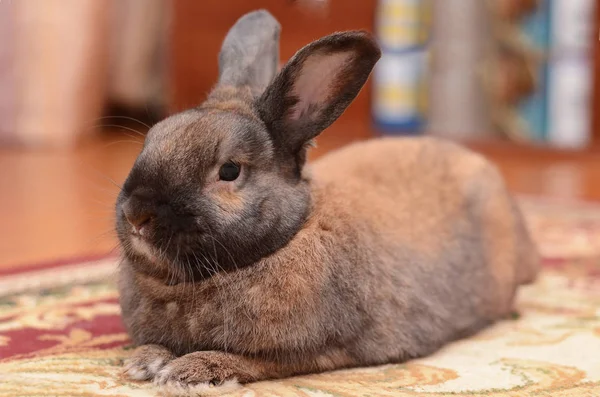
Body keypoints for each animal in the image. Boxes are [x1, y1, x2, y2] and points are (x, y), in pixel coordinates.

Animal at [117, 9, 540, 396]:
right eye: (150, 140)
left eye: (230, 171)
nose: (137, 215)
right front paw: (142, 360)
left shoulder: (312, 351)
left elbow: (249, 361)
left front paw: (188, 371)